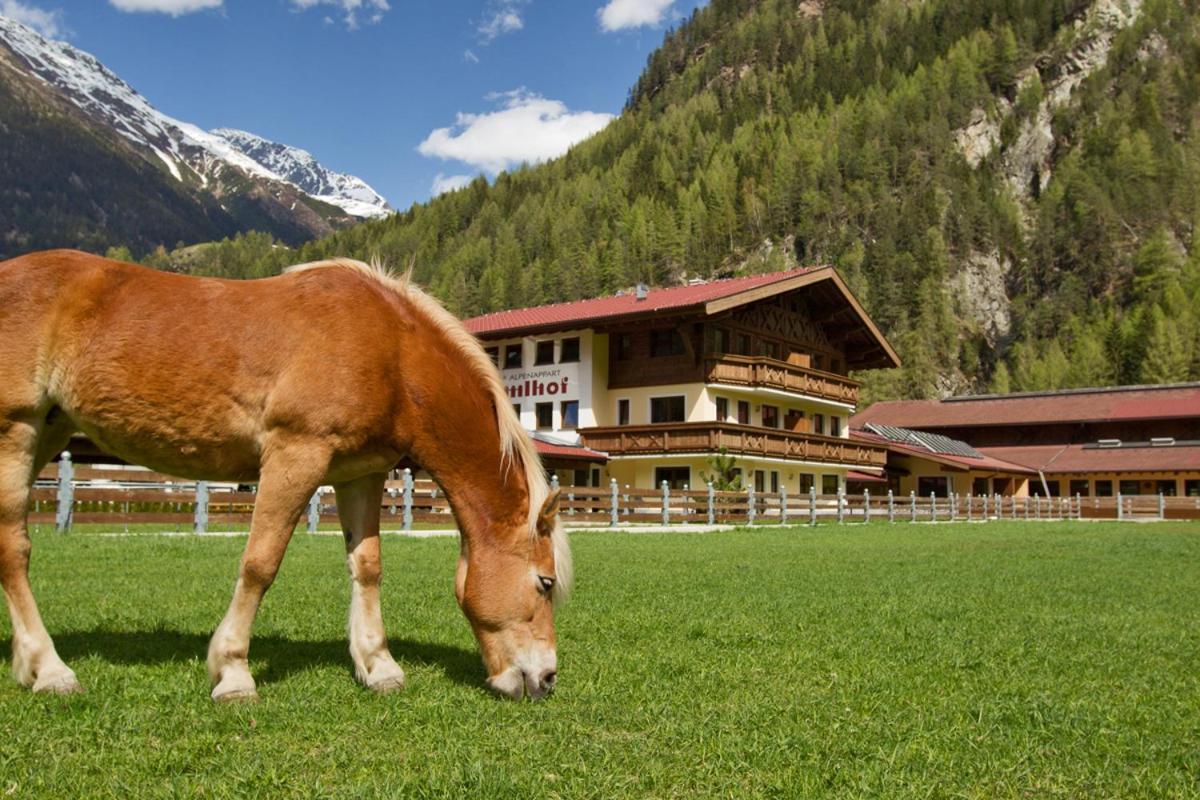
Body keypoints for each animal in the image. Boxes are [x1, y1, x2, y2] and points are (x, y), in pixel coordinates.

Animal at [0, 248, 571, 700]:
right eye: (544, 583)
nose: (546, 680)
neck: (391, 351)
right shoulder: (295, 454)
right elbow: (260, 564)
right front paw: (233, 672)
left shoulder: (360, 474)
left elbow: (367, 567)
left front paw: (377, 665)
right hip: (16, 431)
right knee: (14, 550)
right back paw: (50, 670)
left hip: (49, 429)